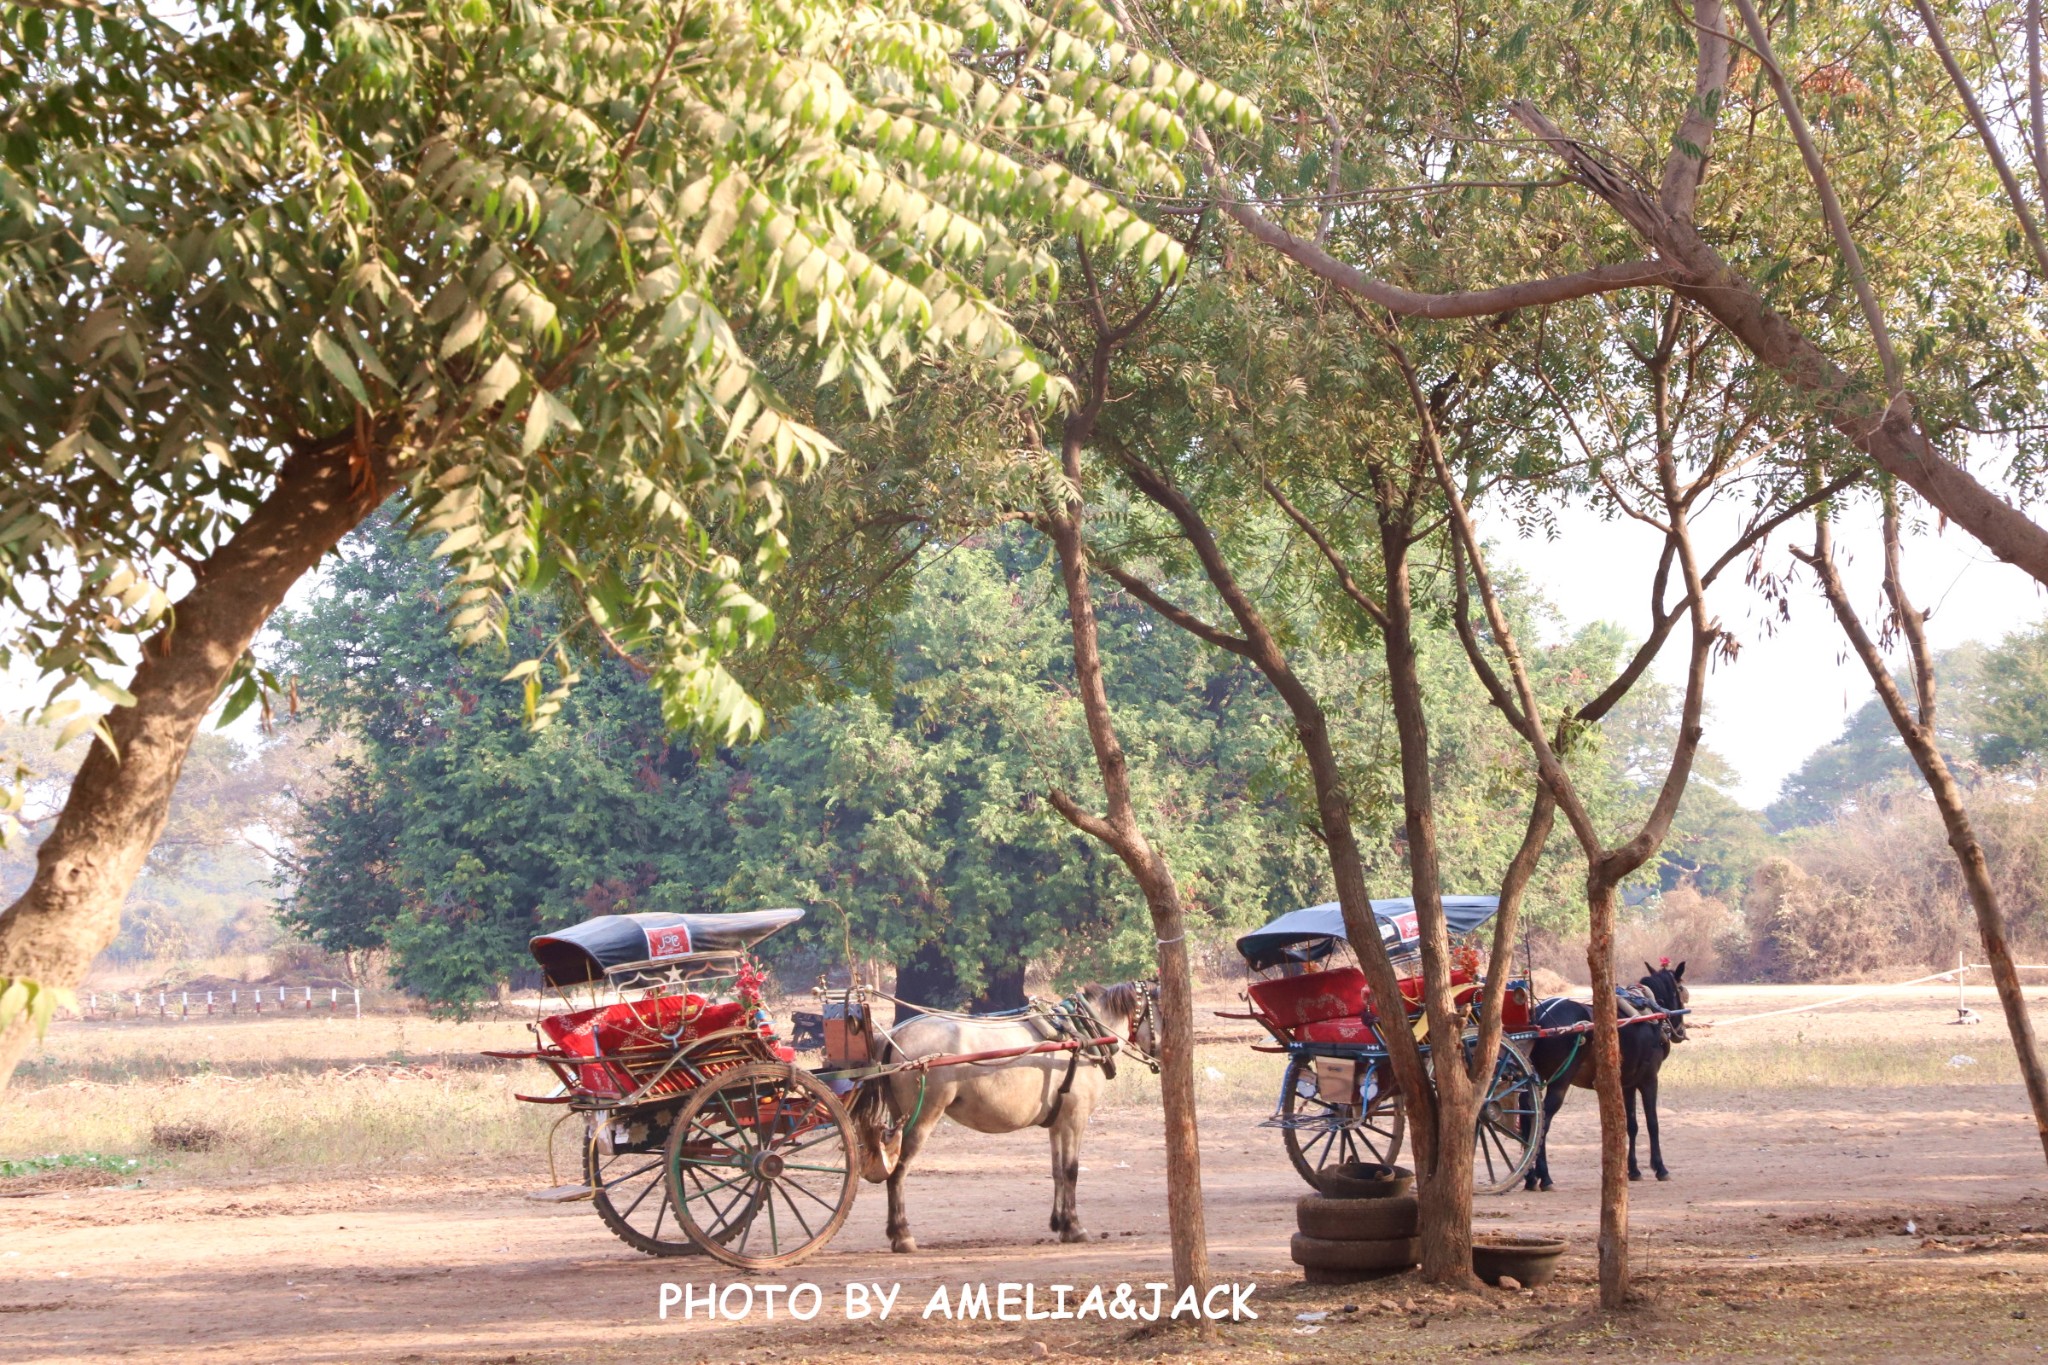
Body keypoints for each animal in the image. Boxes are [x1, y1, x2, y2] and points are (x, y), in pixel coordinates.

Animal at [847, 982, 1163, 1260]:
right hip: (922, 1117)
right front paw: (1074, 1227)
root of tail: (897, 1032)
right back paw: (902, 1235)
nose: (1163, 1057)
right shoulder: (1075, 1119)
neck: (1083, 1035)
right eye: (1161, 1011)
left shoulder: (1058, 1122)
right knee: (898, 1172)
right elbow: (1072, 1171)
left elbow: (1058, 1171)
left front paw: (1059, 1223)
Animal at [1531, 965, 1687, 1186]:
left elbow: (1631, 1125)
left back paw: (1530, 1177)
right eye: (1680, 989)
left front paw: (1633, 1170)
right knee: (1542, 1119)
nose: (1680, 1030)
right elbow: (1652, 1123)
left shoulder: (1627, 1084)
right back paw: (1544, 1176)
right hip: (1560, 1081)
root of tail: (1540, 1017)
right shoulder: (1649, 1080)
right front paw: (1660, 1167)